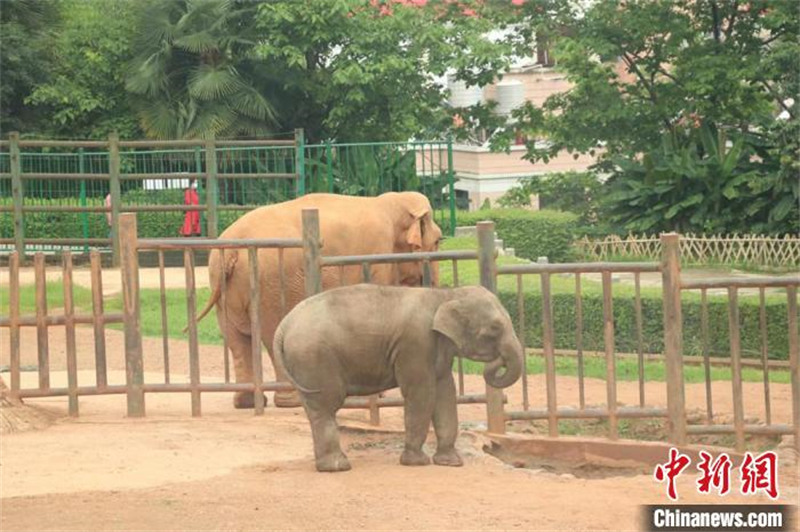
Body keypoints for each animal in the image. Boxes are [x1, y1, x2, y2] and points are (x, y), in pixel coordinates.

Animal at [195, 191, 444, 408]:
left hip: (223, 284)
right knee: (272, 333)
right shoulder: (378, 255)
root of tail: (232, 251)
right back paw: (292, 401)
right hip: (273, 283)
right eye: (439, 242)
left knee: (236, 340)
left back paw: (246, 402)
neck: (392, 202)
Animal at [276, 284, 524, 472]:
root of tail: (284, 325)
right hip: (314, 357)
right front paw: (417, 462)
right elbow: (422, 394)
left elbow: (445, 394)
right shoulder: (415, 343)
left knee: (315, 407)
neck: (445, 295)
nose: (499, 360)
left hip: (304, 365)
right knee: (327, 404)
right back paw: (338, 467)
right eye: (494, 328)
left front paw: (451, 463)